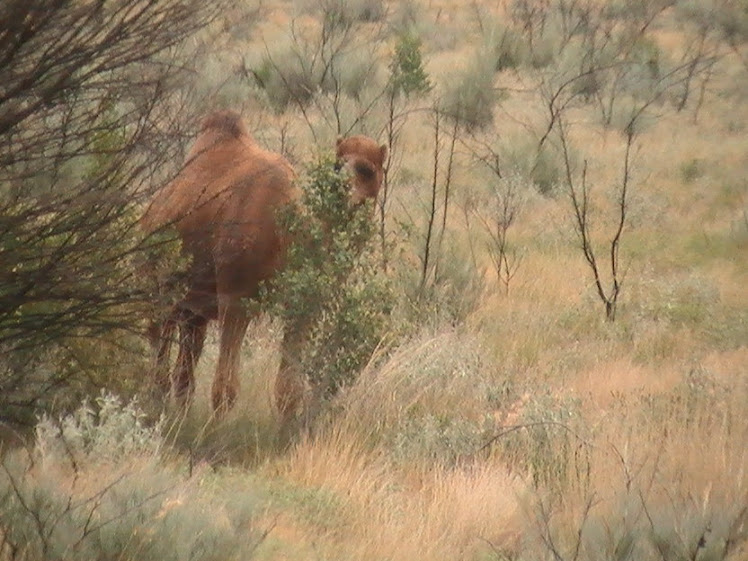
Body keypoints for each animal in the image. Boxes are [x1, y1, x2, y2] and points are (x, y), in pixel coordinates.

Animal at [140, 109, 386, 420]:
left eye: (367, 169)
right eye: (337, 165)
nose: (343, 191)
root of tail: (149, 213)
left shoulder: (302, 306)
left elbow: (289, 387)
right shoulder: (236, 298)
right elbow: (225, 388)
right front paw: (216, 429)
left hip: (194, 305)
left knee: (185, 359)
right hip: (157, 284)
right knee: (158, 342)